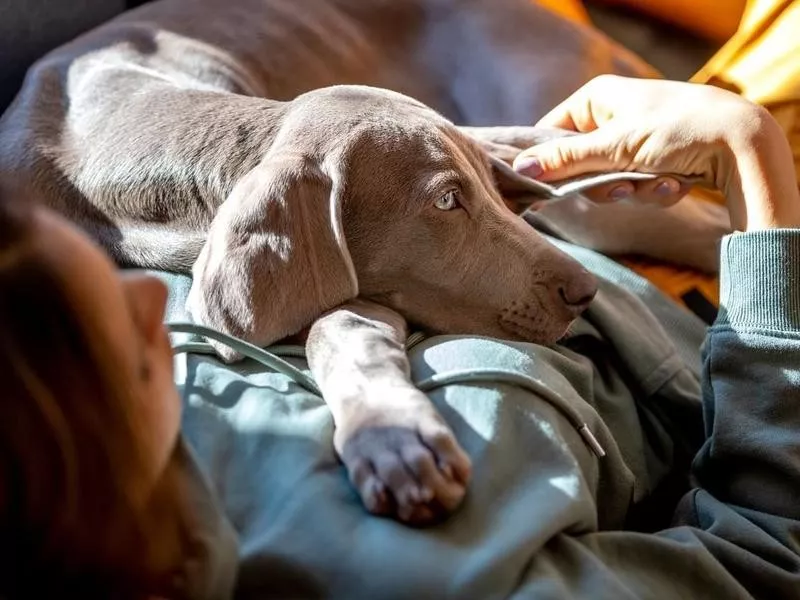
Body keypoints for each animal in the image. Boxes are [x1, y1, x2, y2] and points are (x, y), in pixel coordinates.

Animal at [0, 0, 732, 524]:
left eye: (485, 194)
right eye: (446, 200)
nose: (584, 292)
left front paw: (395, 443)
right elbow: (343, 328)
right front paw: (395, 441)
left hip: (579, 190)